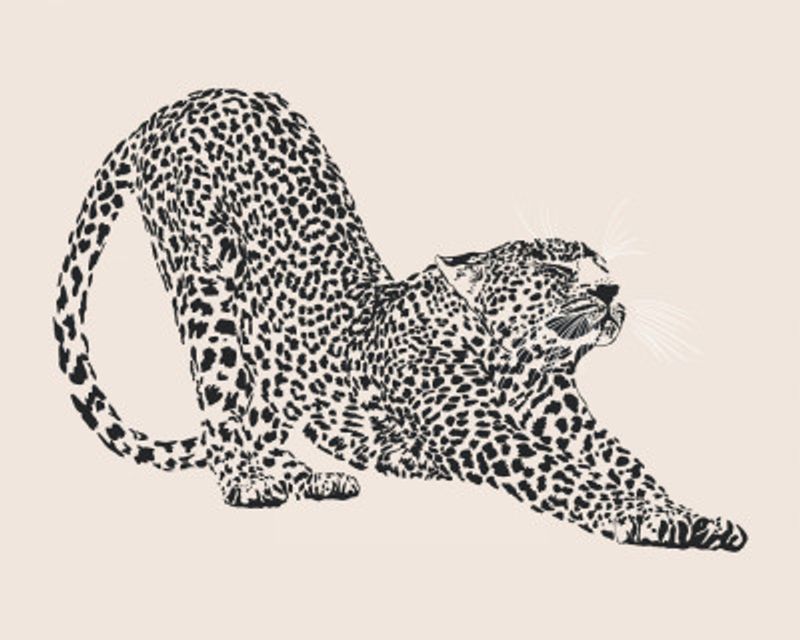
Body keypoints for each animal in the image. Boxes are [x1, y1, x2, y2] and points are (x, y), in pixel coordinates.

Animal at [54, 88, 747, 551]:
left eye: (603, 262)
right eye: (553, 267)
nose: (611, 288)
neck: (519, 364)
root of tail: (184, 100)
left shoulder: (570, 422)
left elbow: (630, 466)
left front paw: (691, 514)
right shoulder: (484, 434)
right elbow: (570, 479)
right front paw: (638, 517)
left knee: (262, 408)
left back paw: (306, 476)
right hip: (204, 288)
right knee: (222, 398)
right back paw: (248, 481)